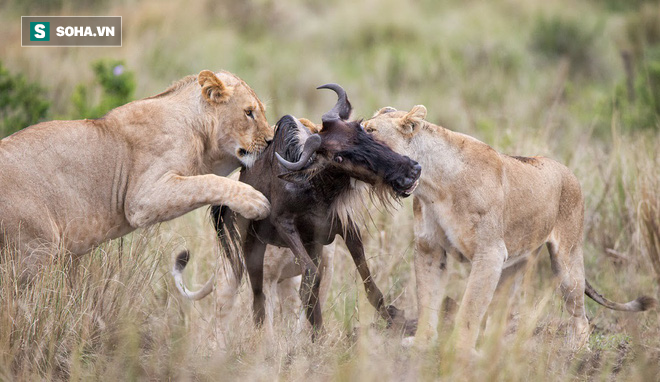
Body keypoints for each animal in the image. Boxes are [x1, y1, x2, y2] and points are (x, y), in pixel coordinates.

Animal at [0, 70, 272, 280]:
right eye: (249, 112)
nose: (270, 141)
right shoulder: (141, 200)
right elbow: (208, 182)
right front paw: (254, 201)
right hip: (34, 251)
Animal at [364, 104, 656, 356]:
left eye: (371, 131)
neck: (434, 185)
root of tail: (567, 171)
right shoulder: (430, 248)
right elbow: (427, 297)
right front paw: (423, 343)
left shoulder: (489, 253)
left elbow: (470, 307)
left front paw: (460, 351)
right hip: (514, 265)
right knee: (500, 312)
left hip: (567, 261)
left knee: (580, 314)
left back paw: (578, 353)